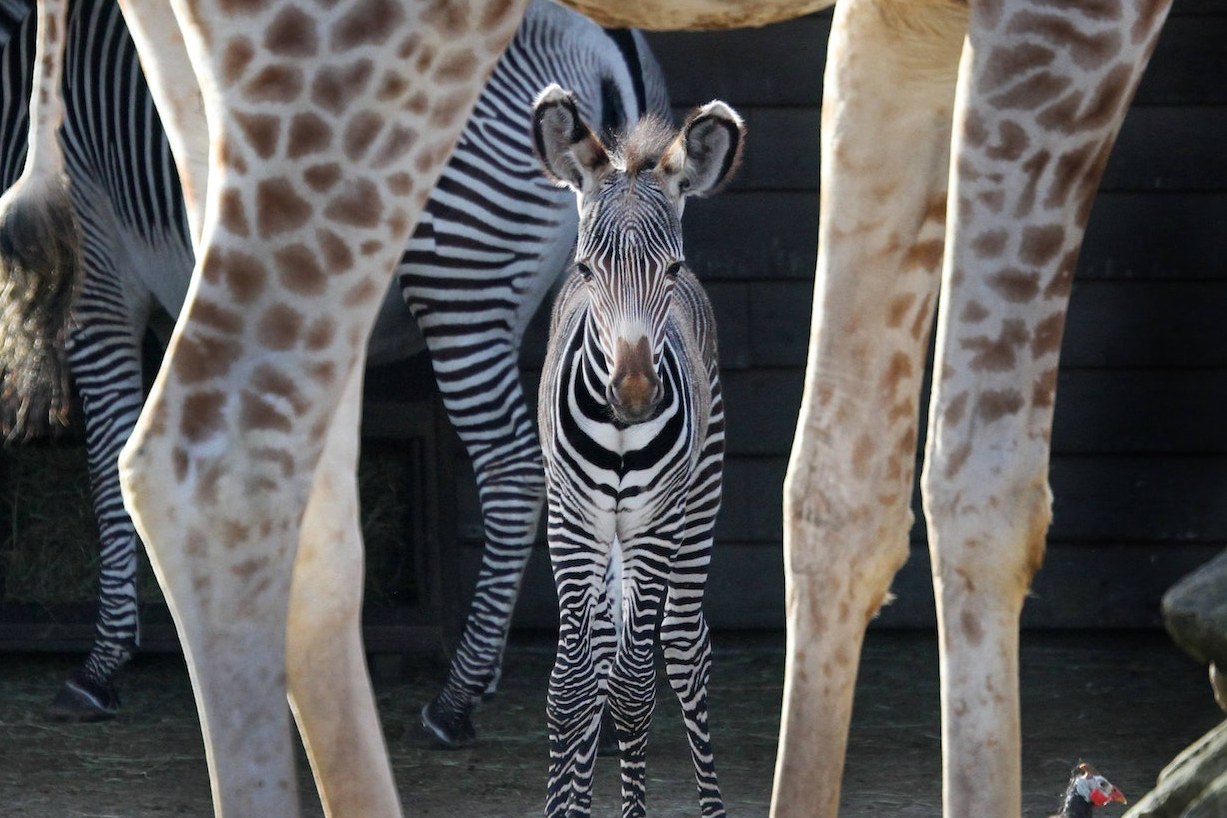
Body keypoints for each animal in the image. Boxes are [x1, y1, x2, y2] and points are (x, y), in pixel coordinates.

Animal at [0, 0, 672, 740]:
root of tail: (601, 40)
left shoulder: (99, 271)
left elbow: (109, 462)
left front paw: (104, 665)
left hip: (462, 275)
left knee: (515, 471)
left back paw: (457, 699)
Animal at [532, 81, 741, 818]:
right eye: (586, 269)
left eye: (670, 268)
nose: (633, 394)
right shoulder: (571, 520)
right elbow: (571, 688)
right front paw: (562, 806)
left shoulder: (654, 524)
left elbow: (632, 689)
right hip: (600, 531)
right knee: (595, 654)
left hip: (697, 503)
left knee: (682, 646)